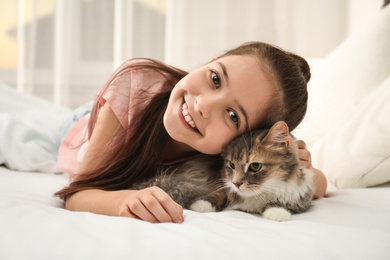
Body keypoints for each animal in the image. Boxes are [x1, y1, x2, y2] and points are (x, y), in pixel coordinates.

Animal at [130, 121, 314, 221]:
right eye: (232, 165)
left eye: (255, 166)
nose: (237, 183)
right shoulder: (219, 178)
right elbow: (219, 192)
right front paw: (202, 205)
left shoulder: (302, 195)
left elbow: (284, 204)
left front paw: (277, 212)